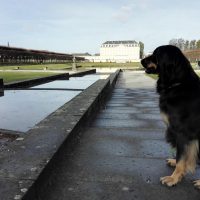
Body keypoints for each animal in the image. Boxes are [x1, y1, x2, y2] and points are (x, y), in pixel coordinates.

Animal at [141, 45, 200, 188]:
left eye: (156, 55)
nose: (141, 60)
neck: (178, 84)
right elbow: (186, 154)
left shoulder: (182, 132)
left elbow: (181, 156)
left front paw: (174, 178)